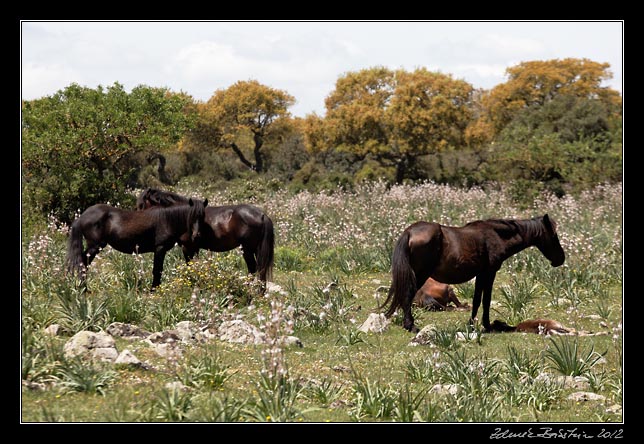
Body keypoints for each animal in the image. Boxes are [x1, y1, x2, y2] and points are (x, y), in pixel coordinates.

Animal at [65, 198, 208, 288]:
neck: (167, 219)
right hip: (94, 247)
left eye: (202, 216)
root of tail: (82, 217)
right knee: (83, 263)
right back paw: (84, 288)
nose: (197, 235)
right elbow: (157, 270)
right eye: (191, 216)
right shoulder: (160, 248)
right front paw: (154, 290)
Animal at [136, 187, 274, 280]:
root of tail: (262, 215)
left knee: (254, 270)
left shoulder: (187, 247)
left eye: (141, 205)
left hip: (248, 250)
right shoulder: (195, 248)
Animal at [380, 215, 568, 332]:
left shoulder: (480, 275)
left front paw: (472, 324)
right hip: (420, 275)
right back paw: (410, 325)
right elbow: (486, 300)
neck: (496, 236)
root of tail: (410, 232)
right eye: (553, 236)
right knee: (408, 295)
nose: (560, 259)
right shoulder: (489, 273)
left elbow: (477, 299)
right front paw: (487, 325)